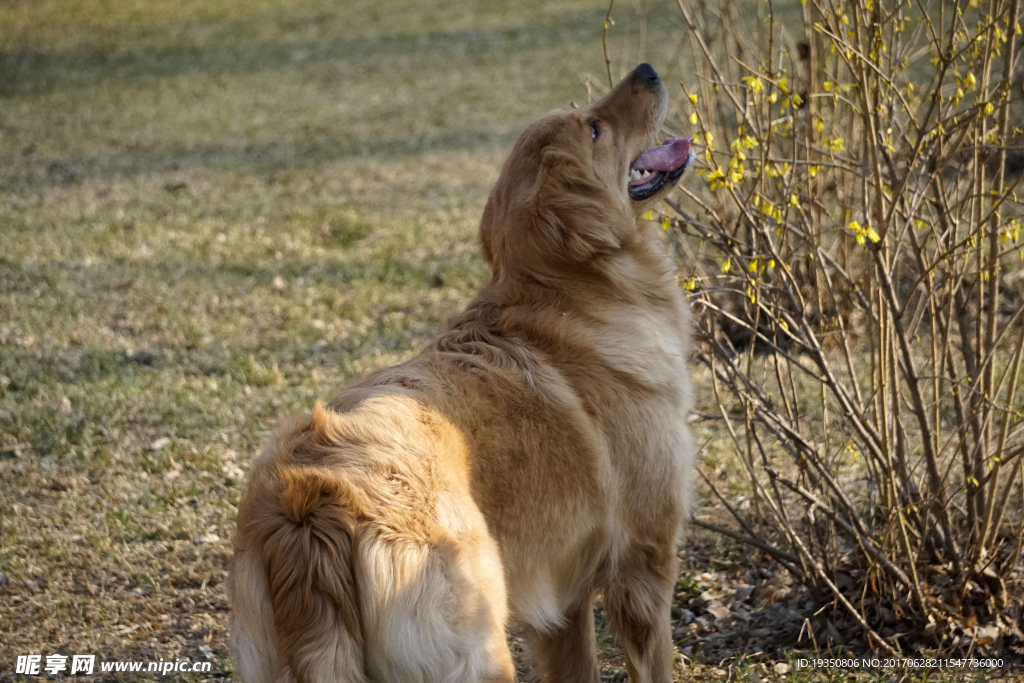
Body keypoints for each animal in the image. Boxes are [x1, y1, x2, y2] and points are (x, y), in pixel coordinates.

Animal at [230, 61, 696, 679]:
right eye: (593, 128)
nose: (646, 69)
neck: (568, 292)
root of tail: (310, 507)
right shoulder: (643, 565)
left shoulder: (564, 601)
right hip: (482, 648)